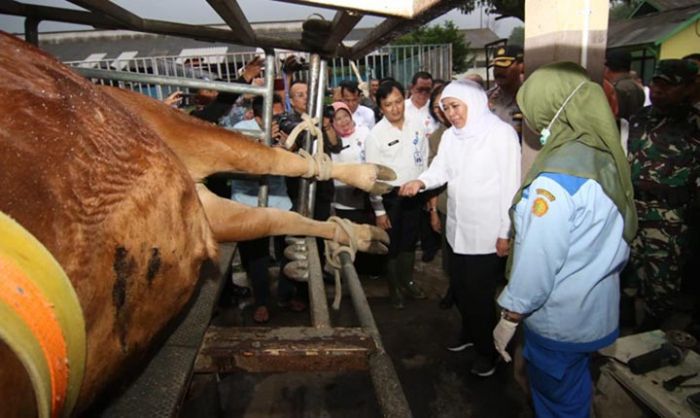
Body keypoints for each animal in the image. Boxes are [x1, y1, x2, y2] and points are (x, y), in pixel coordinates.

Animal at [0, 31, 394, 416]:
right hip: (200, 207)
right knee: (274, 215)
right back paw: (362, 231)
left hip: (176, 130)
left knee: (278, 161)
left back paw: (371, 179)